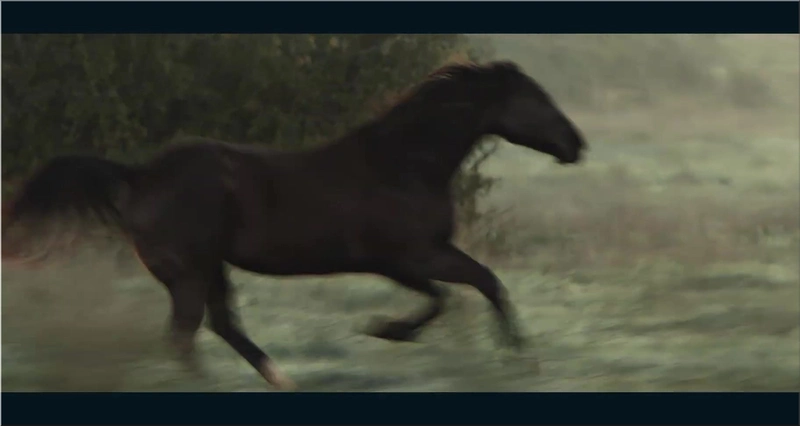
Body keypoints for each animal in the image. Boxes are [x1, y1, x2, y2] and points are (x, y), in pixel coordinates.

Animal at [2, 60, 586, 390]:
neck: (402, 164)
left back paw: (279, 381)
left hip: (210, 268)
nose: (576, 144)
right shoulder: (408, 257)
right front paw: (515, 360)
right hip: (189, 271)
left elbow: (463, 291)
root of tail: (139, 177)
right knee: (186, 335)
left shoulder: (409, 260)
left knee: (220, 327)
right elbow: (475, 286)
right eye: (535, 99)